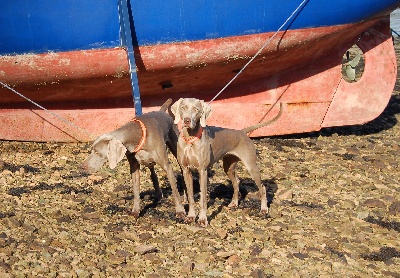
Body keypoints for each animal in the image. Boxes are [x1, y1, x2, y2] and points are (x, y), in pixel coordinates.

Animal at [171, 97, 282, 226]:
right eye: (183, 107)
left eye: (196, 109)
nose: (187, 120)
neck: (190, 139)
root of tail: (242, 132)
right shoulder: (186, 170)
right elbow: (191, 197)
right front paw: (191, 216)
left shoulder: (203, 171)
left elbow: (203, 199)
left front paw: (203, 219)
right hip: (228, 166)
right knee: (237, 181)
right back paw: (234, 203)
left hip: (251, 166)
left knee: (262, 187)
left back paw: (264, 209)